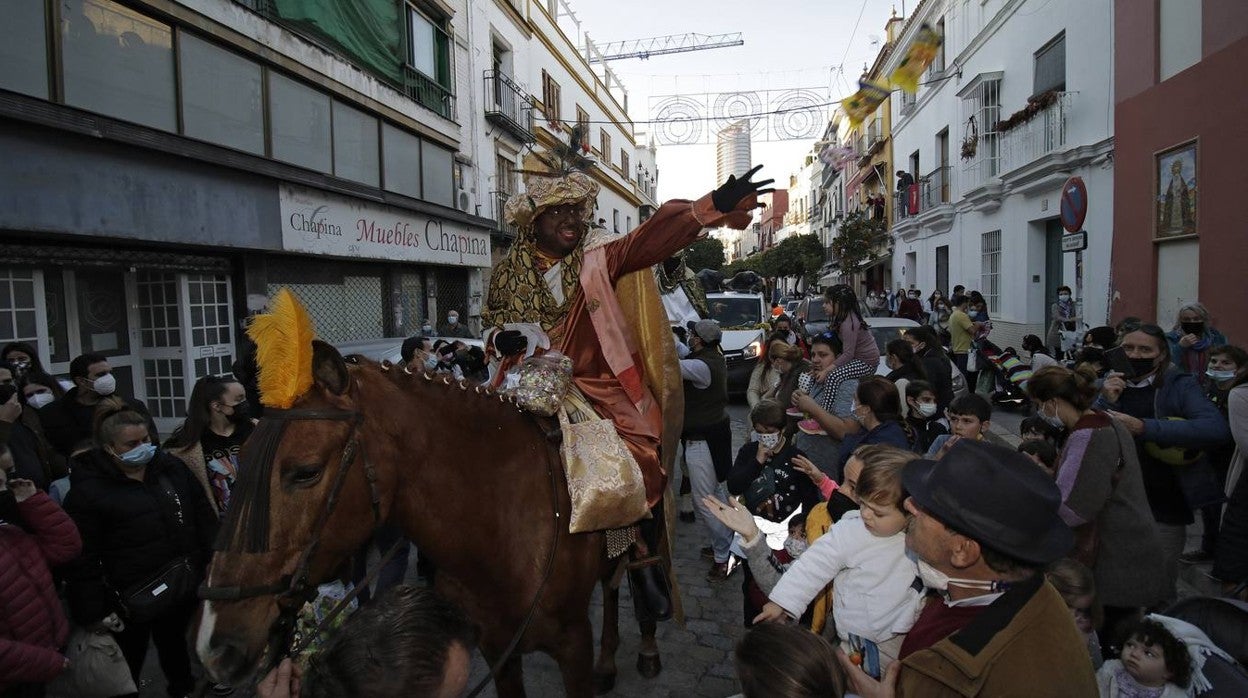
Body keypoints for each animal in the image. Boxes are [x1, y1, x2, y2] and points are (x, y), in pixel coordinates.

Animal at [192, 342, 663, 694]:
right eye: (242, 458)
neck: (503, 532)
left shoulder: (573, 645)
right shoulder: (497, 651)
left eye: (305, 471)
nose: (214, 649)